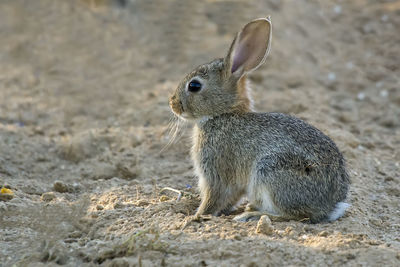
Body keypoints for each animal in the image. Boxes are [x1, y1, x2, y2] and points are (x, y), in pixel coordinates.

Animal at [169, 17, 350, 224]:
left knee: (296, 216)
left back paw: (251, 215)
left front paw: (196, 216)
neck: (223, 114)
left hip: (269, 172)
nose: (172, 103)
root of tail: (329, 207)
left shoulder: (216, 171)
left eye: (194, 86)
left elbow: (213, 198)